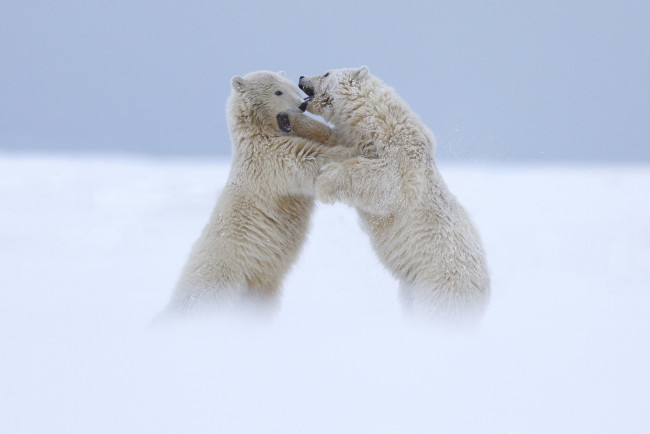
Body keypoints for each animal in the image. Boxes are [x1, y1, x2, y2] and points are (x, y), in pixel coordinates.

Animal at [163, 70, 360, 316]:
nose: (302, 105)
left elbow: (321, 135)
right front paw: (356, 151)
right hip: (223, 277)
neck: (257, 132)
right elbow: (308, 158)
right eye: (278, 91)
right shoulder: (268, 158)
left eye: (291, 86)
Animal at [298, 65, 486, 322]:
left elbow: (388, 182)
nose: (301, 77)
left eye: (326, 73)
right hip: (411, 289)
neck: (378, 120)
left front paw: (326, 180)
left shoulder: (404, 155)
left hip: (440, 287)